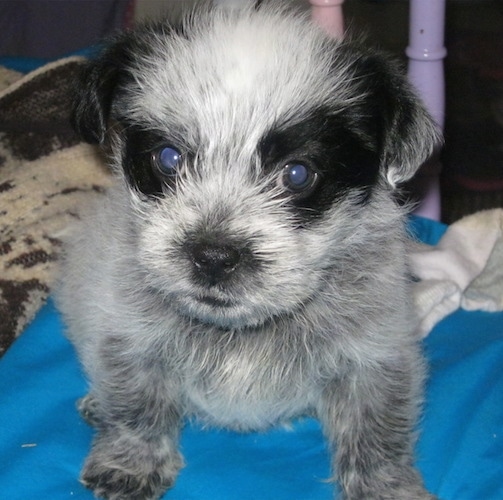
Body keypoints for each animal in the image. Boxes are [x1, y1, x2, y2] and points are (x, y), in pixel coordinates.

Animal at [56, 3, 440, 500]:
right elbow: (135, 407)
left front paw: (384, 487)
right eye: (168, 158)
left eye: (297, 174)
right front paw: (131, 463)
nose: (213, 257)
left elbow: (376, 429)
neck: (241, 332)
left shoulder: (375, 356)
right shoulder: (129, 339)